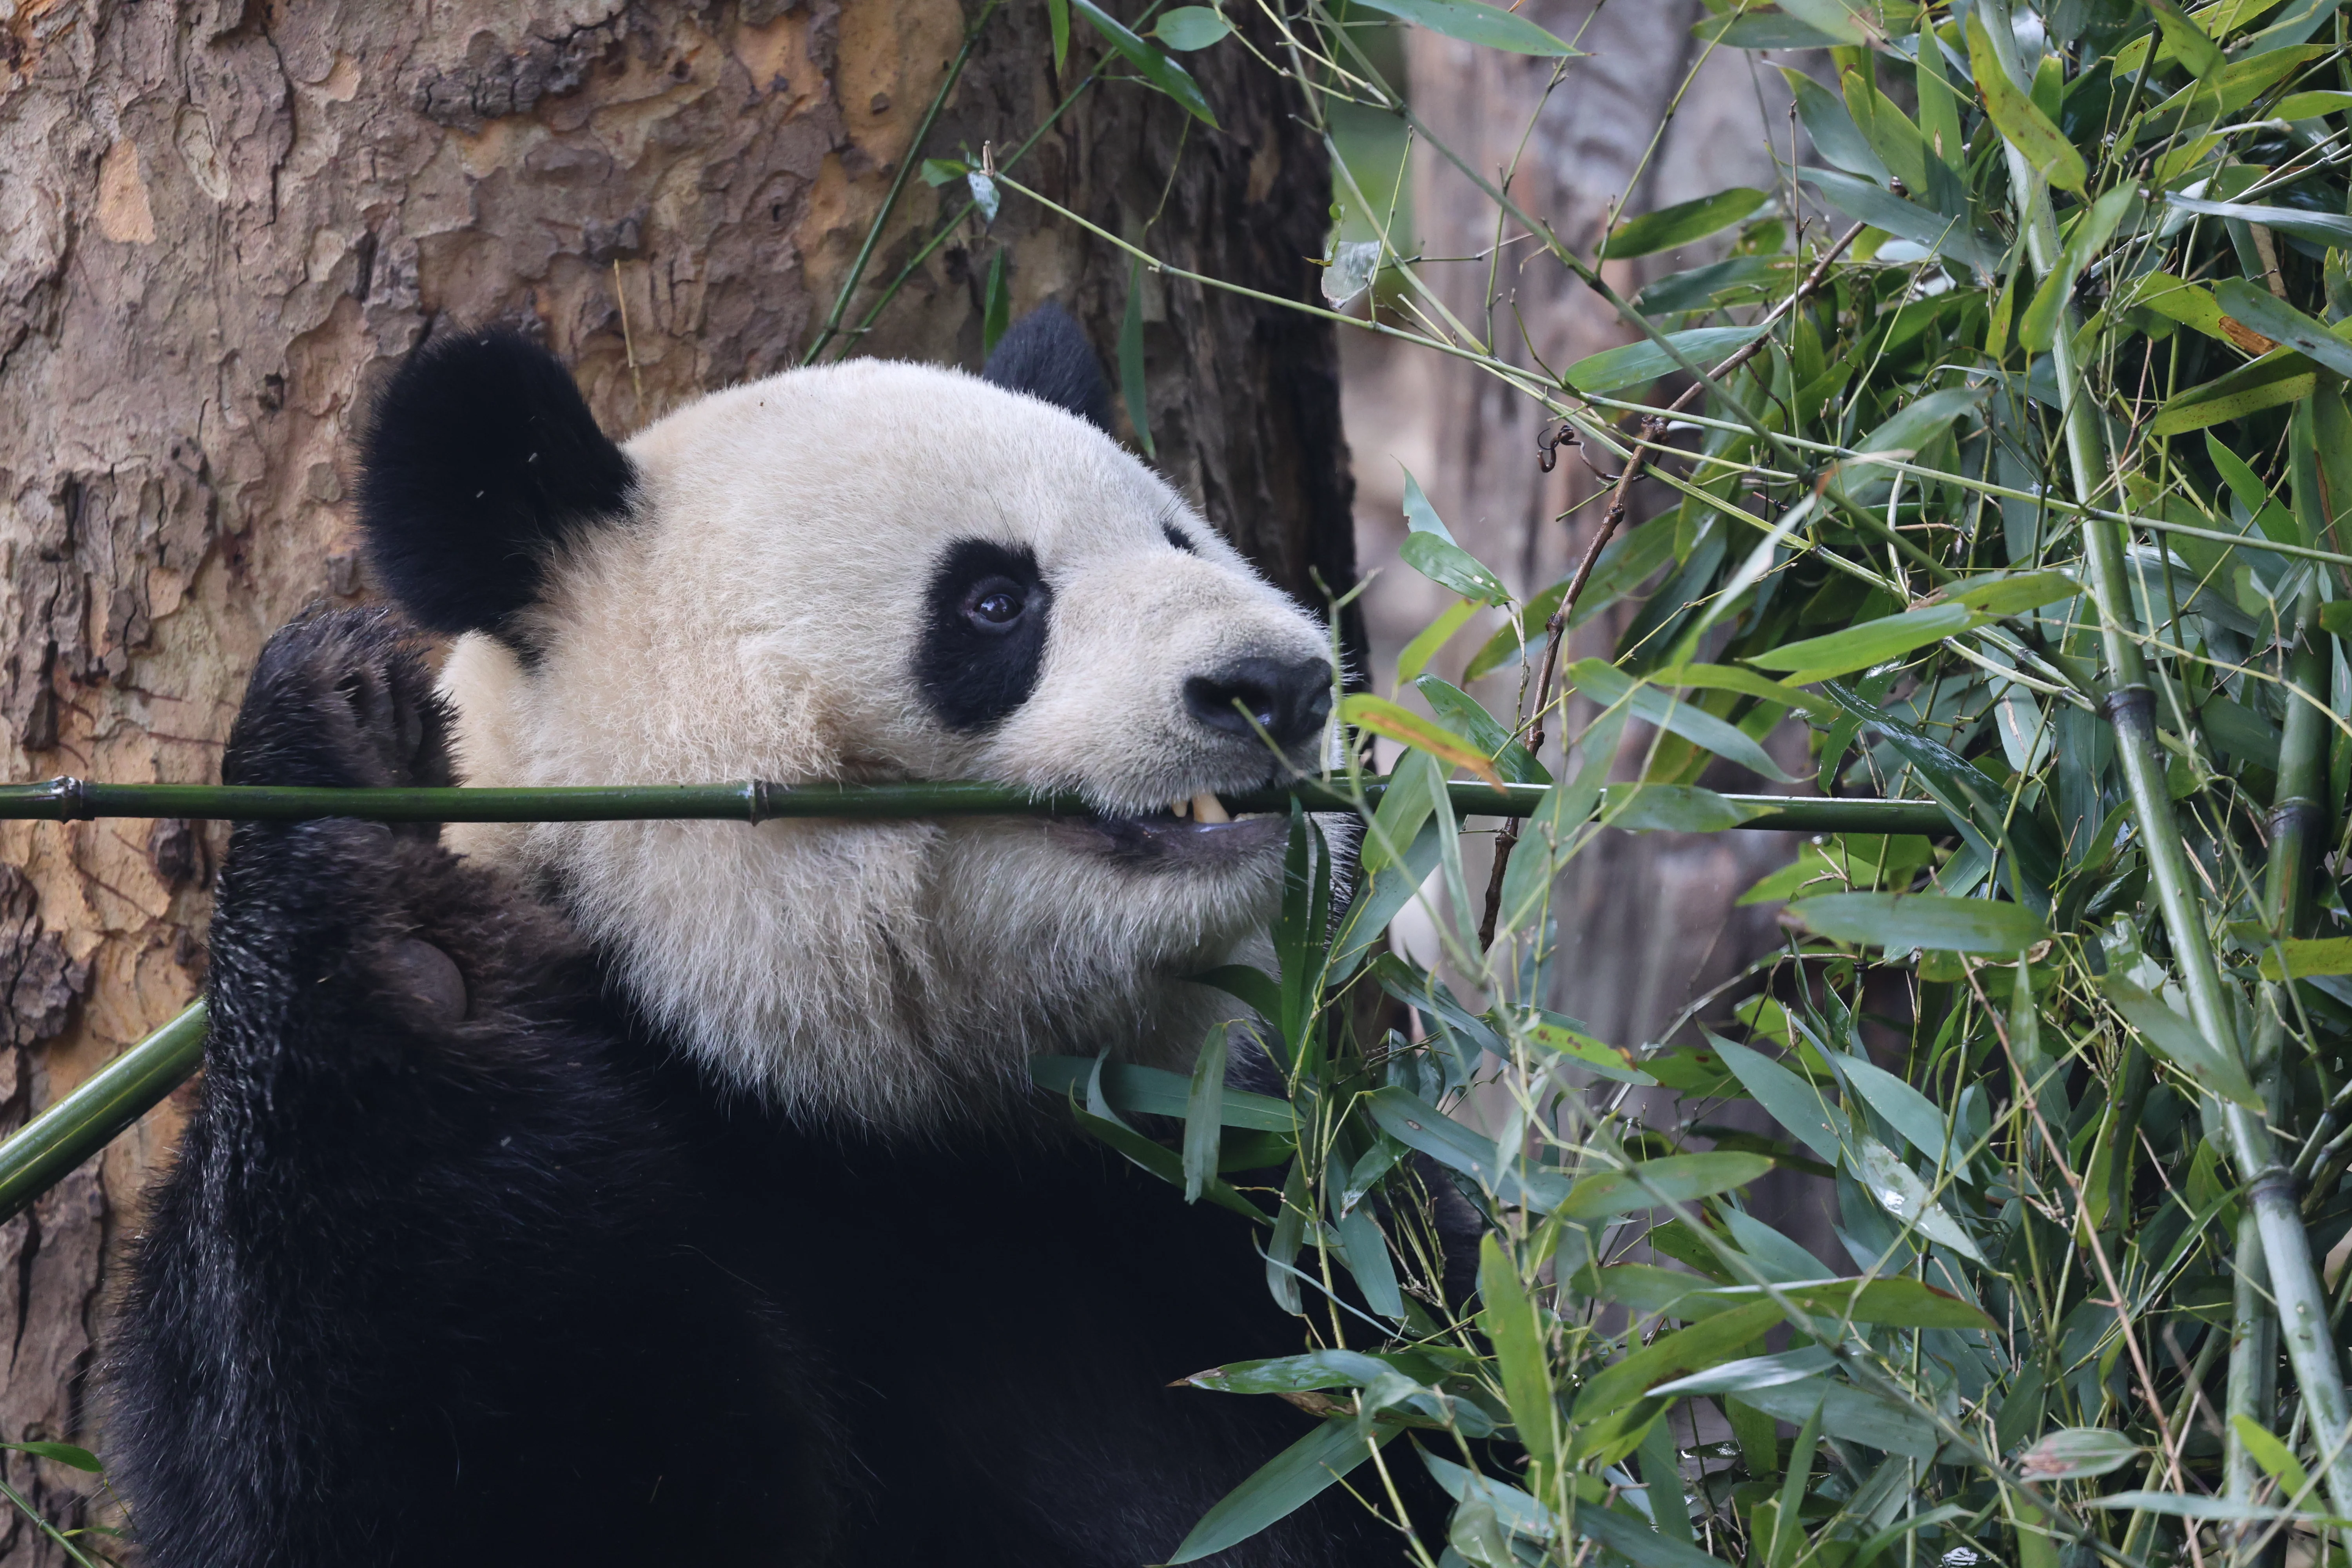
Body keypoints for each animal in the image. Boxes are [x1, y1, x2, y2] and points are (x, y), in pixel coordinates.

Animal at [104, 310, 1419, 1568]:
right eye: (995, 599)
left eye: (1180, 538)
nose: (1278, 684)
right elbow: (441, 1466)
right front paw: (387, 874)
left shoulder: (1239, 1197)